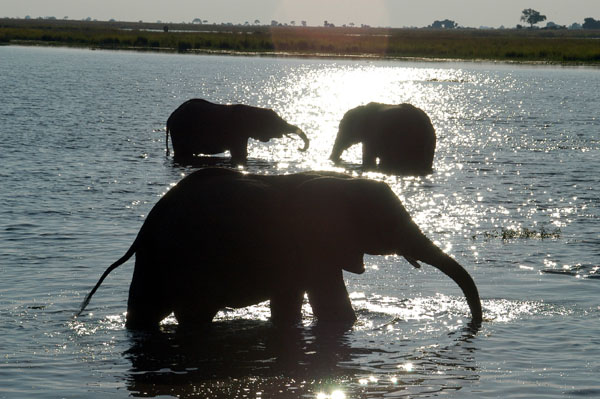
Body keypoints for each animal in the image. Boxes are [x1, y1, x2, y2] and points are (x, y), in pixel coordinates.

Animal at [165, 99, 310, 165]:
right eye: (275, 122)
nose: (299, 148)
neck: (253, 110)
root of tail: (171, 117)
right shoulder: (238, 132)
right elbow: (239, 153)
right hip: (180, 131)